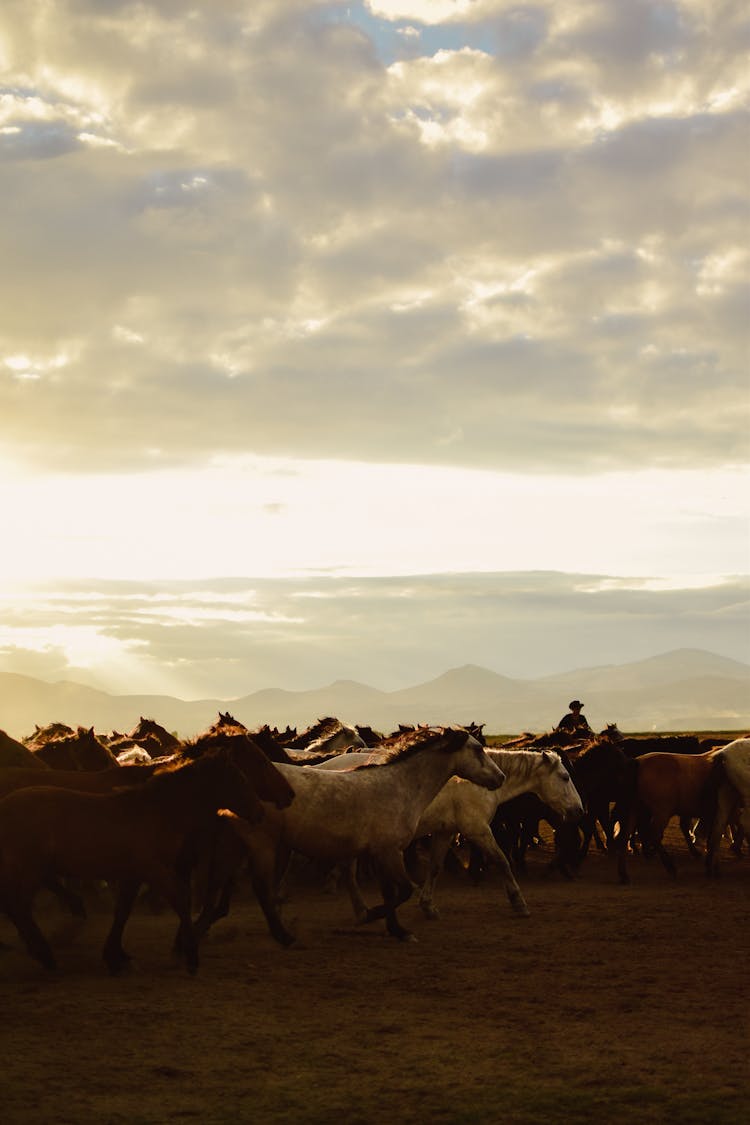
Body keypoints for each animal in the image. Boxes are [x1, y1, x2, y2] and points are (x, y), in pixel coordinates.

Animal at [0, 742, 284, 972]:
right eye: (239, 779)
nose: (260, 813)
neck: (156, 811)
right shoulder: (154, 870)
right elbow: (180, 901)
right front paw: (191, 956)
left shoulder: (133, 875)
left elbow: (123, 911)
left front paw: (115, 957)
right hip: (30, 870)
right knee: (18, 907)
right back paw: (46, 955)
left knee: (17, 907)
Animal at [213, 724, 503, 945]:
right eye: (478, 749)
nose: (500, 778)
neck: (401, 786)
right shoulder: (389, 852)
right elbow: (403, 891)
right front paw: (372, 916)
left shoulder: (381, 853)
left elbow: (391, 893)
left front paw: (396, 930)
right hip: (262, 844)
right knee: (260, 887)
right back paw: (282, 936)